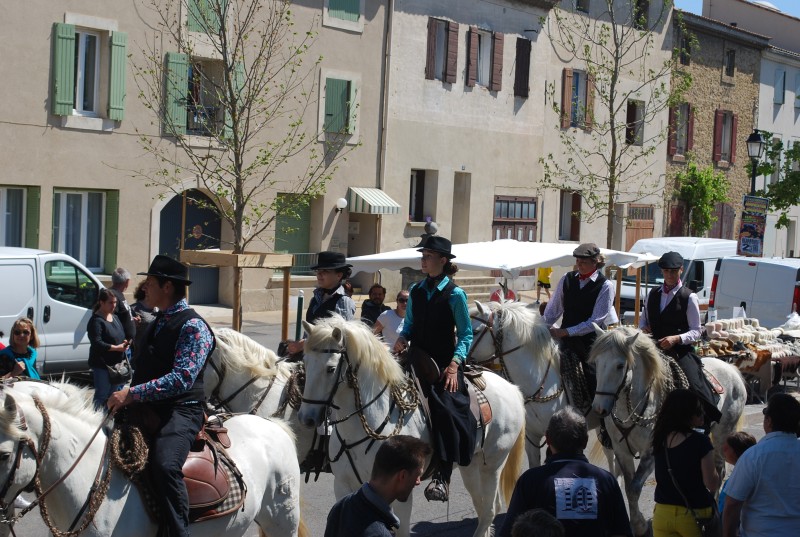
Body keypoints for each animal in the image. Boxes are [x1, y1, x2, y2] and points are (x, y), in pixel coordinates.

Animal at [296, 316, 528, 536]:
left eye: (330, 369)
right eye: (305, 363)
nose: (306, 418)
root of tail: (512, 388)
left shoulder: (401, 495)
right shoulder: (343, 486)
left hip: (493, 464)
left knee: (489, 510)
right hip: (470, 465)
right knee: (482, 507)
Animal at [592, 324, 748, 532]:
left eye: (619, 365)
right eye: (596, 363)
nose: (599, 408)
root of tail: (731, 368)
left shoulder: (650, 453)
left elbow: (634, 488)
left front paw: (640, 525)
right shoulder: (622, 451)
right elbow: (628, 487)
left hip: (723, 433)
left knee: (720, 470)